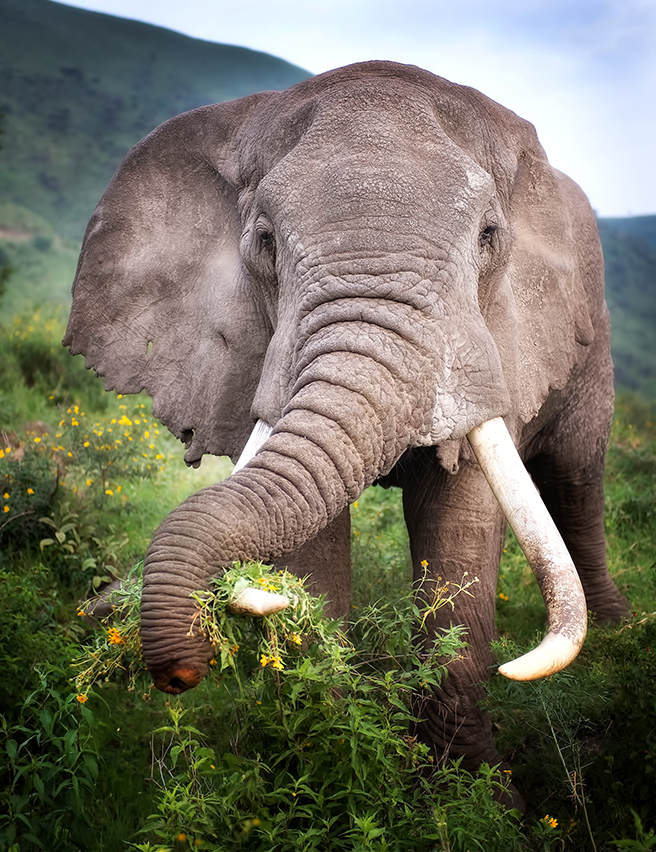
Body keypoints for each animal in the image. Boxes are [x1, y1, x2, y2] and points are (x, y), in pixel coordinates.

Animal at [64, 60, 630, 777]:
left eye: (488, 237)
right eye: (265, 242)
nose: (179, 674)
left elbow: (462, 531)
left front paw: (472, 787)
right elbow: (314, 547)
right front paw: (327, 762)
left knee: (577, 479)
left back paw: (619, 629)